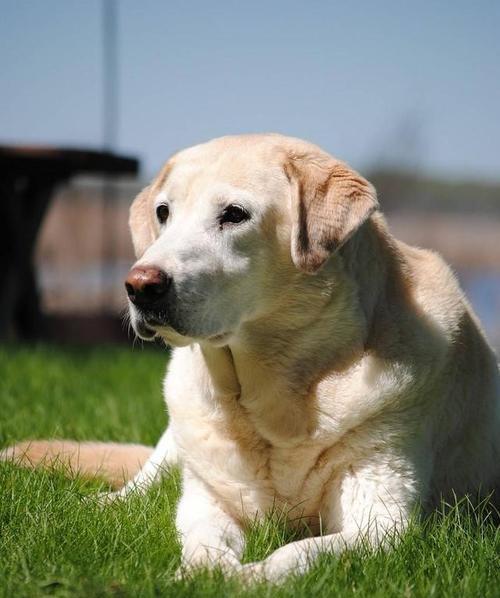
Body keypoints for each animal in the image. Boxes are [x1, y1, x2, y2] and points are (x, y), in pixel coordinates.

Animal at [2, 134, 496, 584]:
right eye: (164, 213)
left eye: (234, 215)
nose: (139, 285)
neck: (275, 396)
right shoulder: (205, 500)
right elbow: (203, 541)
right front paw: (204, 573)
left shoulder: (382, 518)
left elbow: (298, 552)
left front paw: (251, 576)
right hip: (176, 438)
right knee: (144, 479)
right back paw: (97, 507)